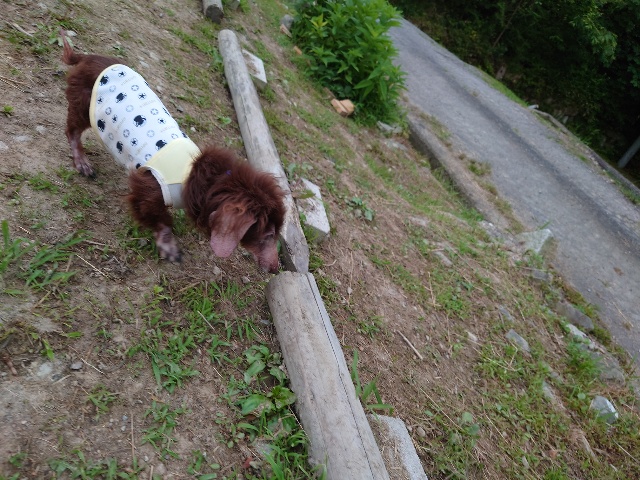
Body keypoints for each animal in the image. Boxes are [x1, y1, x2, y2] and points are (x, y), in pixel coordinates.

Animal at [60, 32, 285, 273]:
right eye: (268, 235)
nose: (275, 268)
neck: (198, 178)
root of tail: (87, 57)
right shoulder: (148, 188)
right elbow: (160, 218)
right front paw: (170, 249)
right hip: (83, 105)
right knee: (72, 131)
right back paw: (83, 163)